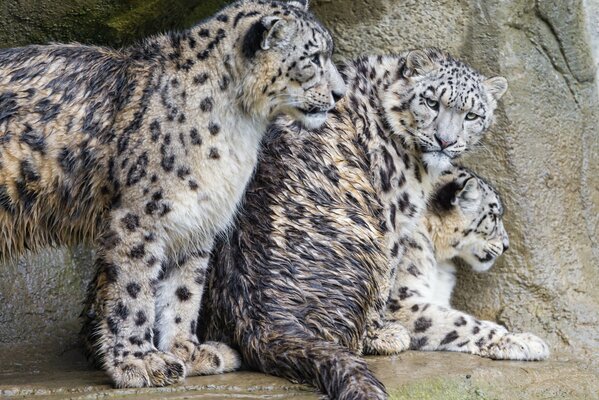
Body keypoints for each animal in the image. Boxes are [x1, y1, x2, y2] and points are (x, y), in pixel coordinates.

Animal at [0, 0, 344, 390]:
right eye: (314, 57)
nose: (340, 93)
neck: (238, 130)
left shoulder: (198, 219)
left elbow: (184, 291)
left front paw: (188, 352)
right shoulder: (140, 216)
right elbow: (134, 290)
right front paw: (139, 362)